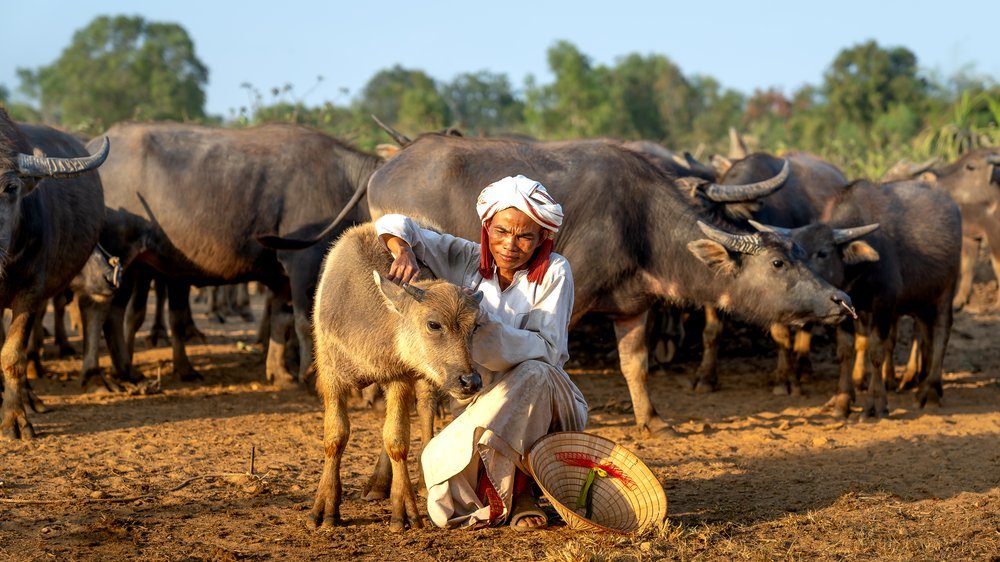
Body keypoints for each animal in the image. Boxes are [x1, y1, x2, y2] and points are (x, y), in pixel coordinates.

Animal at [80, 122, 378, 384]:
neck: (345, 183)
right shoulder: (304, 263)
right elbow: (306, 322)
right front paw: (309, 374)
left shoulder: (281, 277)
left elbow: (280, 321)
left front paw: (280, 373)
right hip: (115, 256)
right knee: (97, 307)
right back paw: (101, 374)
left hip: (131, 265)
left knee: (118, 313)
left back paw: (129, 370)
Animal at [312, 221, 484, 528]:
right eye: (433, 324)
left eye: (474, 326)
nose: (470, 381)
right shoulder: (331, 375)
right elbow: (335, 436)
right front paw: (326, 508)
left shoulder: (399, 379)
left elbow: (397, 440)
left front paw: (404, 511)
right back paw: (378, 483)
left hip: (427, 378)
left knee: (426, 409)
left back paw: (424, 479)